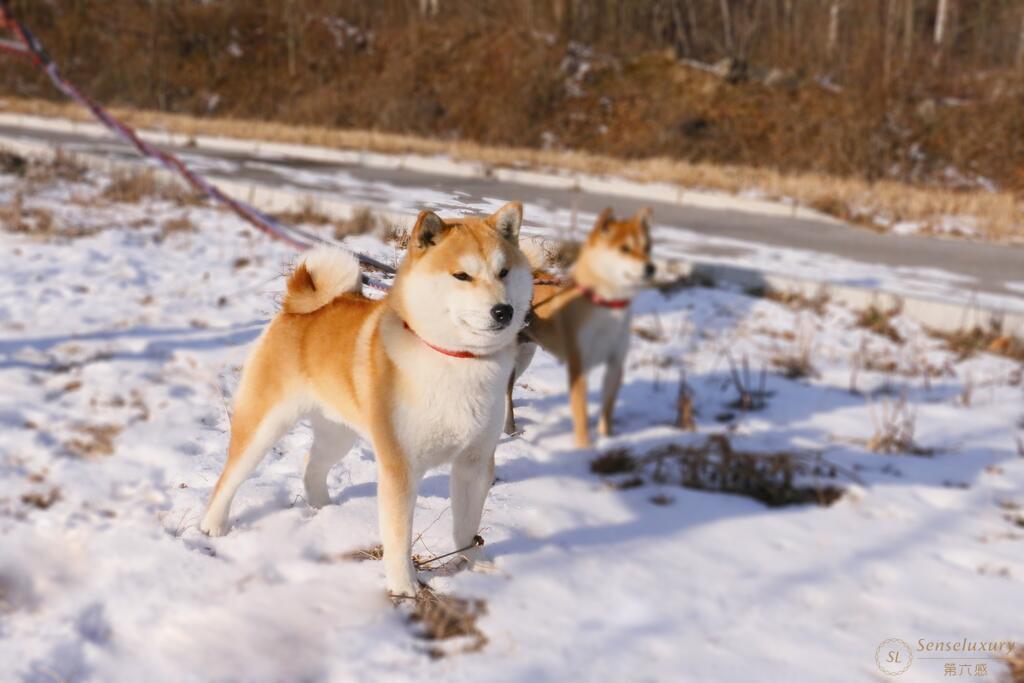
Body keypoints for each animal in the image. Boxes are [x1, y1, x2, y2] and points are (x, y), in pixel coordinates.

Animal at [201, 202, 536, 598]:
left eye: (504, 272)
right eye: (462, 275)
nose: (504, 311)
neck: (458, 360)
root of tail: (297, 307)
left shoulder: (475, 460)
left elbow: (467, 526)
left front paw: (473, 564)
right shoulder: (399, 466)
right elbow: (398, 536)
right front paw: (404, 585)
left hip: (339, 434)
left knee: (311, 466)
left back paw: (324, 508)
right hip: (264, 425)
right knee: (230, 476)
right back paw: (213, 524)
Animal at [505, 208, 655, 448]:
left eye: (648, 247)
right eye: (625, 248)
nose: (651, 268)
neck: (607, 307)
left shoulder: (615, 364)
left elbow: (607, 409)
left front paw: (607, 437)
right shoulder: (579, 366)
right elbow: (581, 412)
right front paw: (584, 446)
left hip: (525, 356)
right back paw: (508, 428)